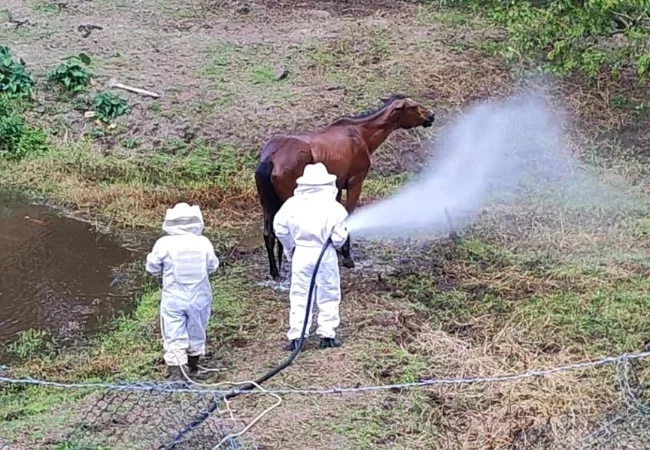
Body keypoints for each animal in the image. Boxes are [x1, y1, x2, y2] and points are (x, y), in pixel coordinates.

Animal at [256, 94, 432, 278]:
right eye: (413, 106)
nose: (431, 115)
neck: (361, 133)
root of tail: (270, 158)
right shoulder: (355, 182)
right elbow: (347, 217)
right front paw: (347, 256)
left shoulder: (338, 187)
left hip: (268, 204)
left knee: (268, 234)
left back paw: (275, 272)